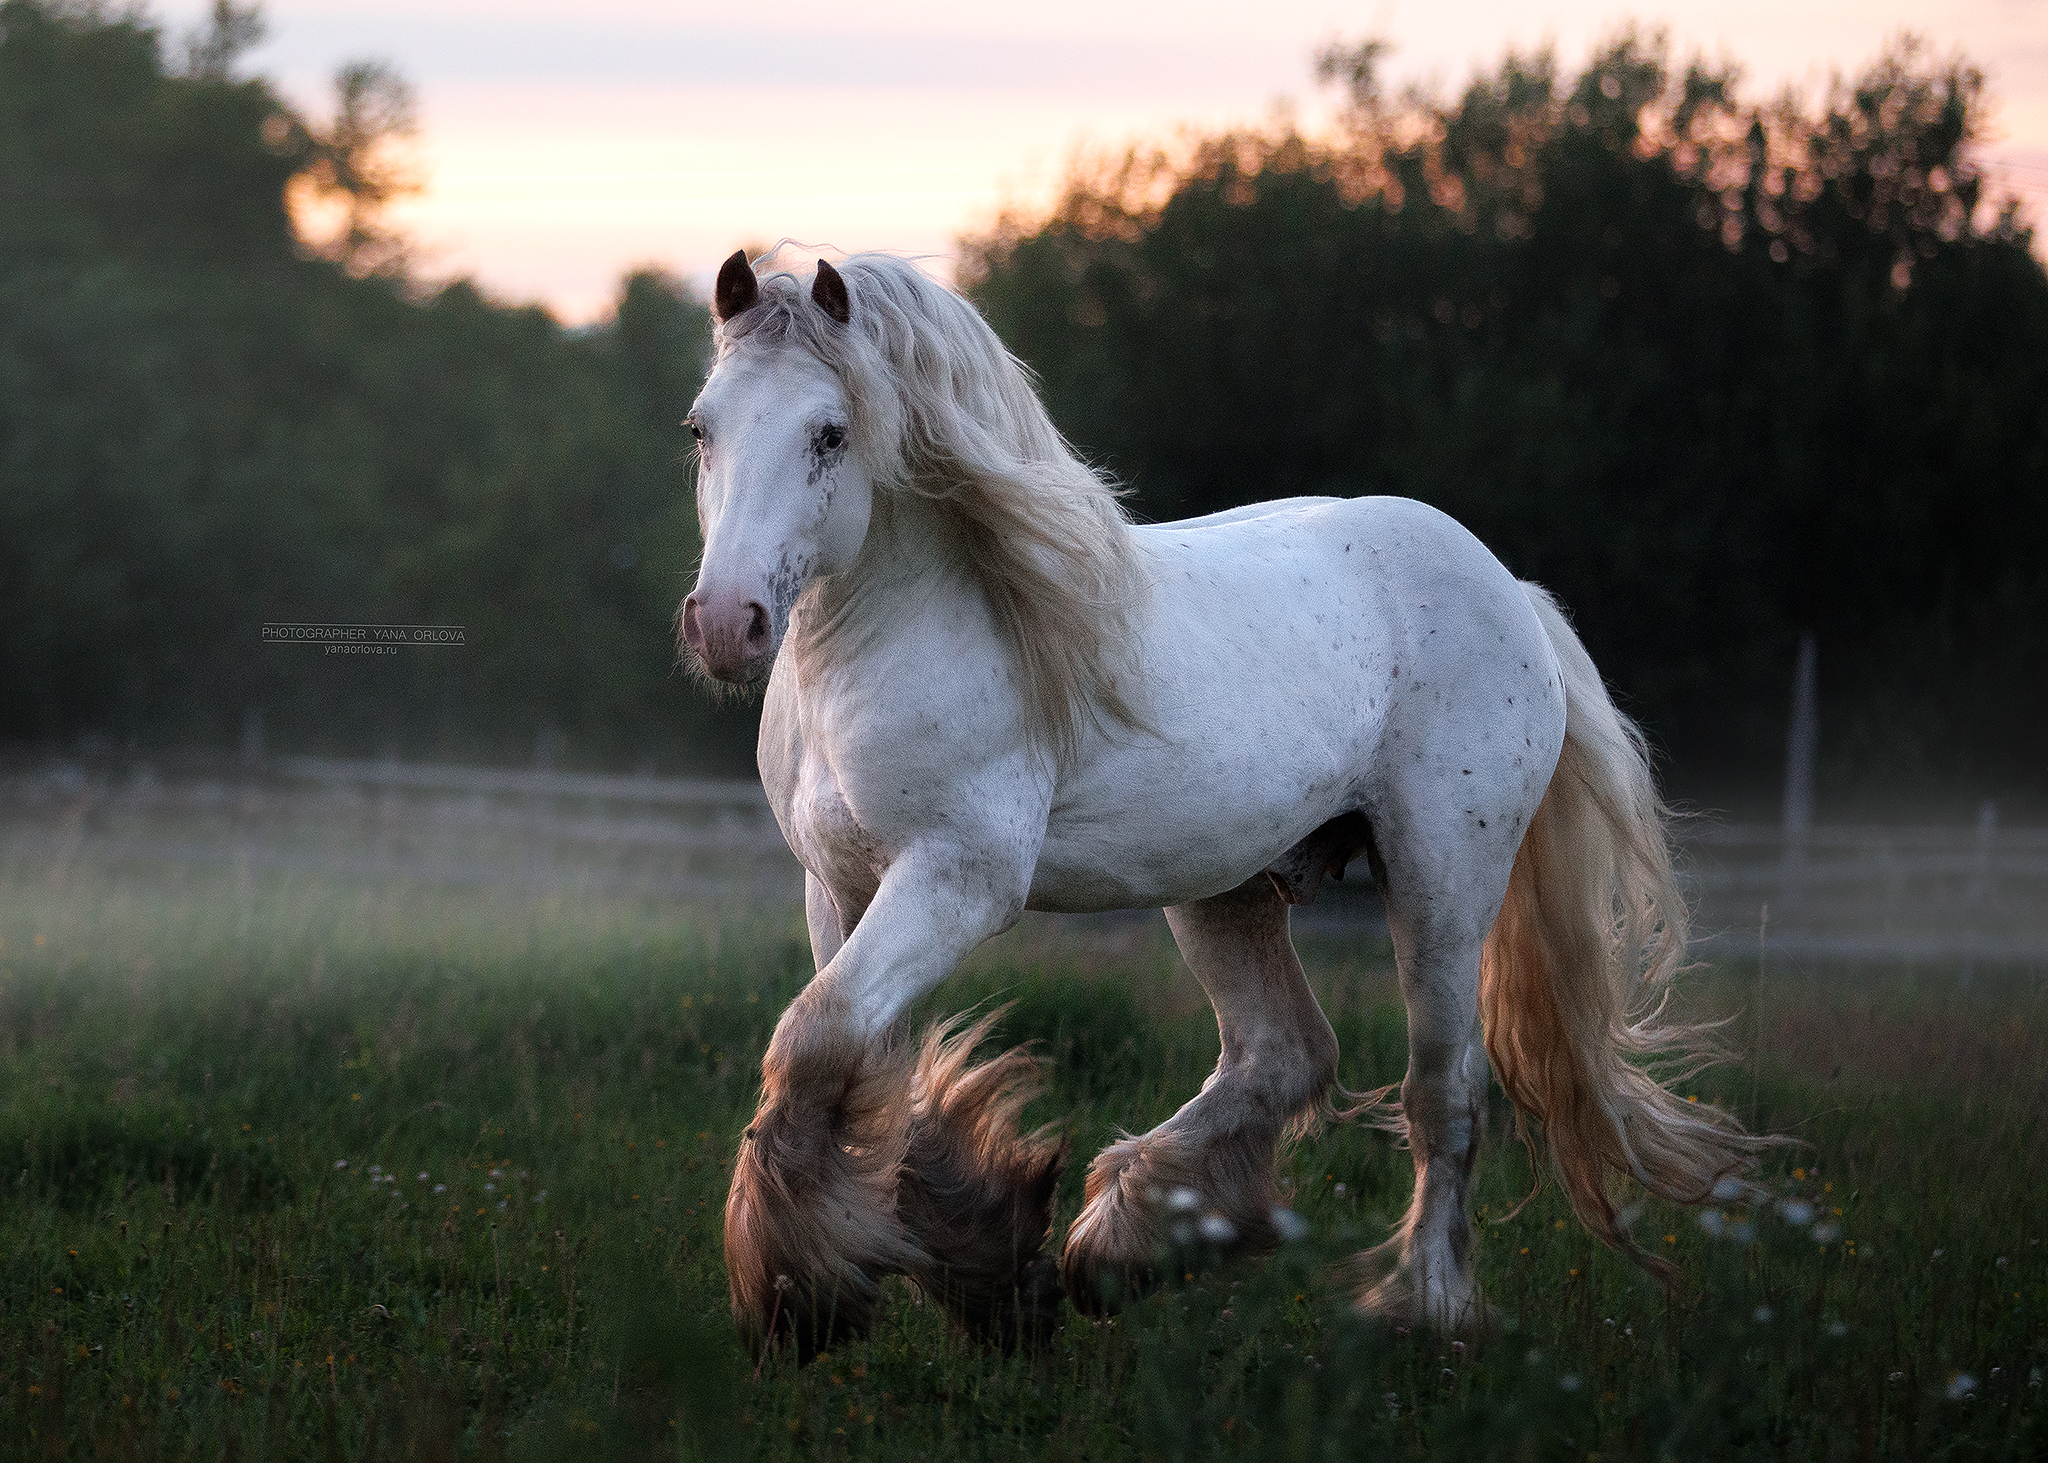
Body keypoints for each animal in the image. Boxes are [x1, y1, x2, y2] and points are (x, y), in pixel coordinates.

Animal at [688, 244, 1761, 1352]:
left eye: (830, 432)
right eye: (701, 427)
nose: (726, 622)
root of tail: (1511, 590)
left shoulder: (956, 878)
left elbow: (815, 1039)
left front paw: (798, 1294)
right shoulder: (841, 888)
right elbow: (868, 1066)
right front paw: (983, 1264)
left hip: (1442, 880)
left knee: (1442, 1093)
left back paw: (1421, 1309)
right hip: (1226, 887)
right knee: (1283, 1053)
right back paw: (1125, 1244)